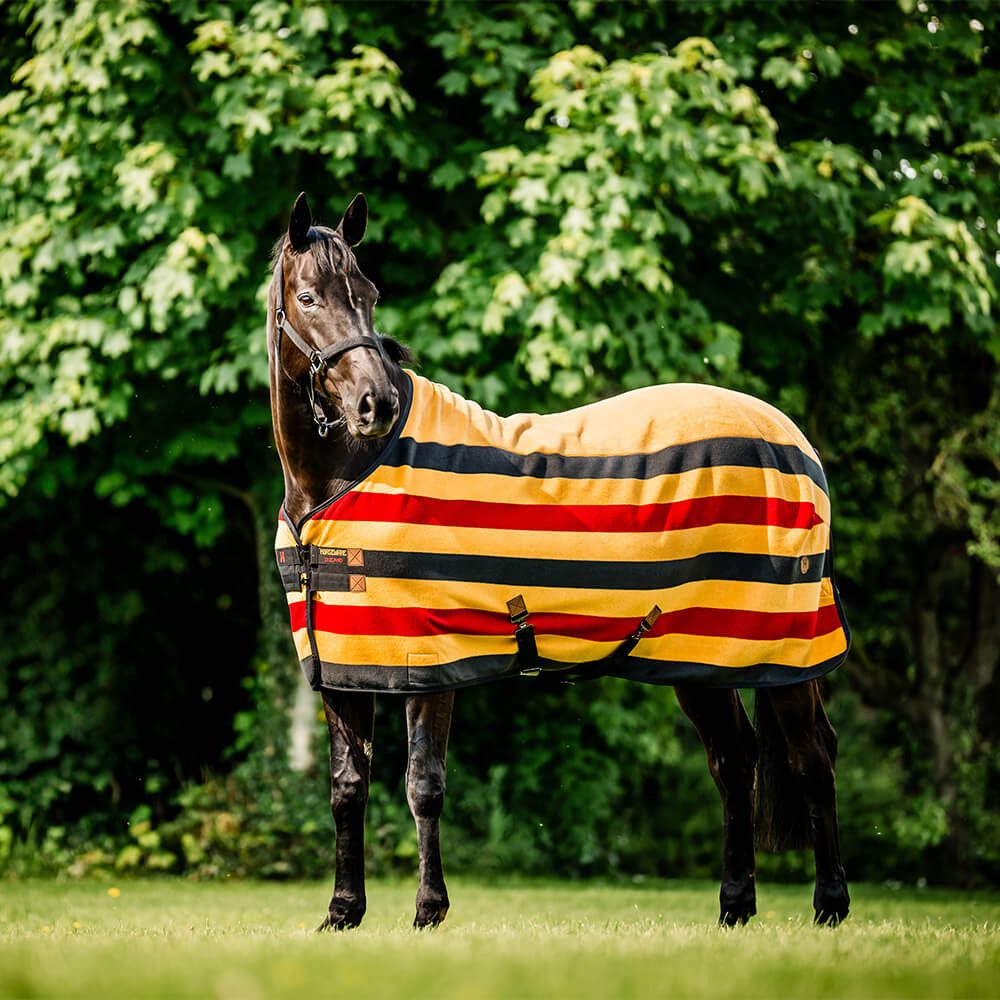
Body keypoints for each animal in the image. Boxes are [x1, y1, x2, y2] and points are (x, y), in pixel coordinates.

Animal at [267, 191, 851, 931]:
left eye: (368, 294)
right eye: (308, 296)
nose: (377, 403)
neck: (341, 477)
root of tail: (791, 441)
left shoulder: (427, 659)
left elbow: (423, 784)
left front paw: (429, 911)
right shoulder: (347, 664)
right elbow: (348, 787)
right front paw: (343, 913)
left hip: (785, 645)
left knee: (810, 757)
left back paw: (830, 906)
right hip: (701, 652)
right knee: (733, 758)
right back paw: (734, 907)